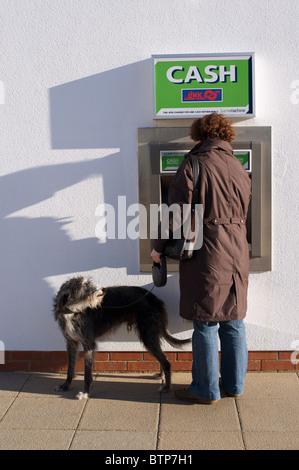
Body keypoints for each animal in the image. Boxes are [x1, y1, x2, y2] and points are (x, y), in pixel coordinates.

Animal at [54, 278, 191, 398]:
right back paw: (161, 376)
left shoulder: (89, 343)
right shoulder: (71, 342)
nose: (103, 289)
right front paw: (65, 386)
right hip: (152, 334)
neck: (73, 311)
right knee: (163, 357)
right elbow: (70, 367)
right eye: (84, 284)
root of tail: (156, 300)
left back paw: (167, 387)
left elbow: (87, 373)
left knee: (165, 361)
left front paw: (85, 392)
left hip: (148, 335)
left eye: (89, 282)